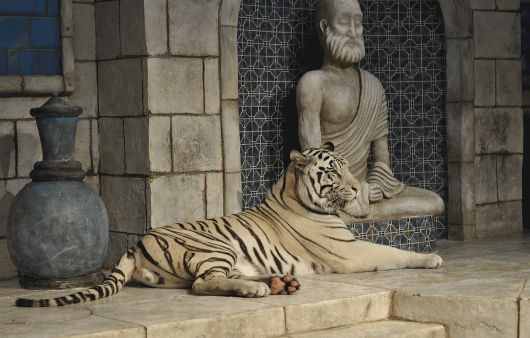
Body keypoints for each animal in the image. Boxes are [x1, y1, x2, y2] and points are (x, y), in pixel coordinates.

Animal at [15, 143, 442, 306]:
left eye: (349, 168)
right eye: (334, 173)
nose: (357, 188)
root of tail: (135, 244)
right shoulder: (349, 252)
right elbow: (394, 252)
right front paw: (432, 259)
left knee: (210, 280)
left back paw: (278, 283)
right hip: (214, 247)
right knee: (203, 285)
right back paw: (258, 290)